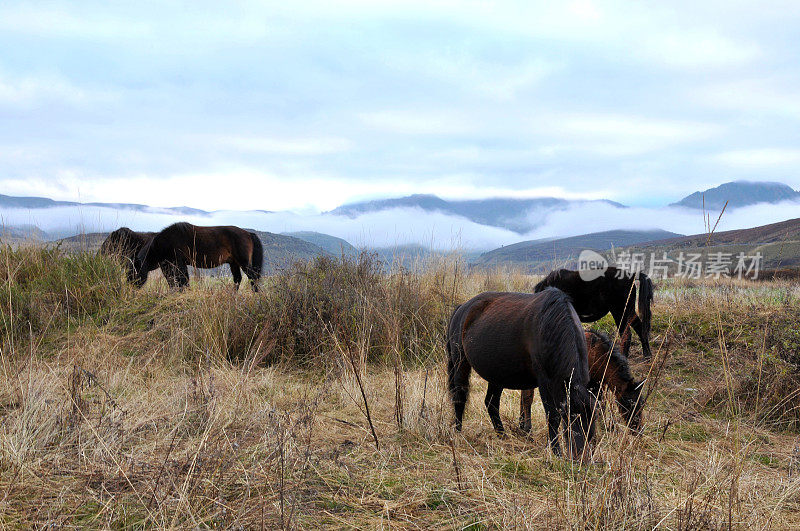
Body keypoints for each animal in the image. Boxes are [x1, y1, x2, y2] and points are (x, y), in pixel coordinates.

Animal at [446, 288, 596, 460]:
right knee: (460, 396)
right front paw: (556, 451)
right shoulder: (545, 383)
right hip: (460, 363)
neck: (551, 324)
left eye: (593, 423)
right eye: (573, 420)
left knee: (491, 402)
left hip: (497, 374)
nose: (583, 460)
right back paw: (458, 432)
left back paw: (503, 436)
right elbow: (552, 416)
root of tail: (462, 308)